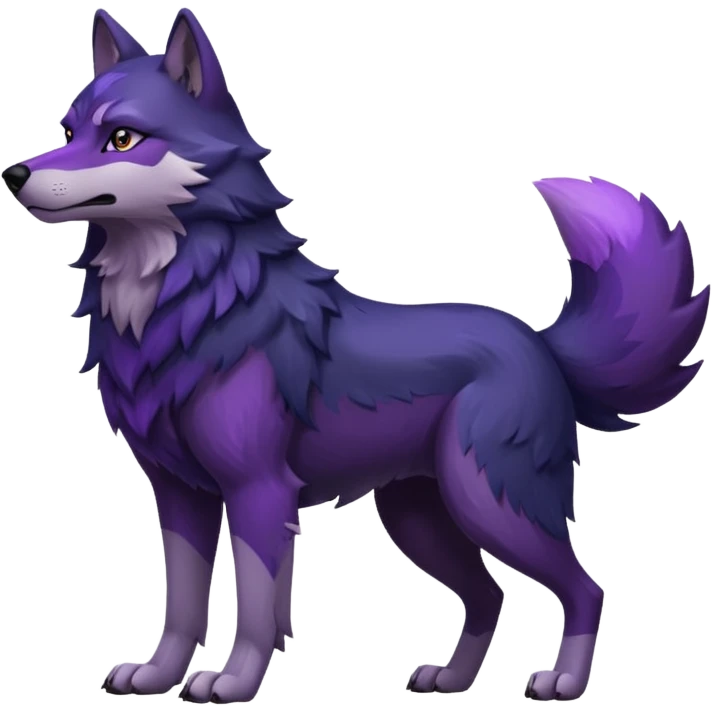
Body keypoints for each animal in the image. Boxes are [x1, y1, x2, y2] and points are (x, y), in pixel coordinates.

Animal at [3, 8, 708, 705]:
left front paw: (234, 680)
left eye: (122, 138)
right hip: (419, 518)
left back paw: (563, 681)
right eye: (68, 131)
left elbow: (258, 601)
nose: (15, 174)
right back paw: (451, 679)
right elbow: (181, 602)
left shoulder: (258, 491)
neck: (186, 308)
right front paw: (156, 676)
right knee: (489, 595)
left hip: (490, 502)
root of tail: (539, 341)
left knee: (585, 588)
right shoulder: (178, 495)